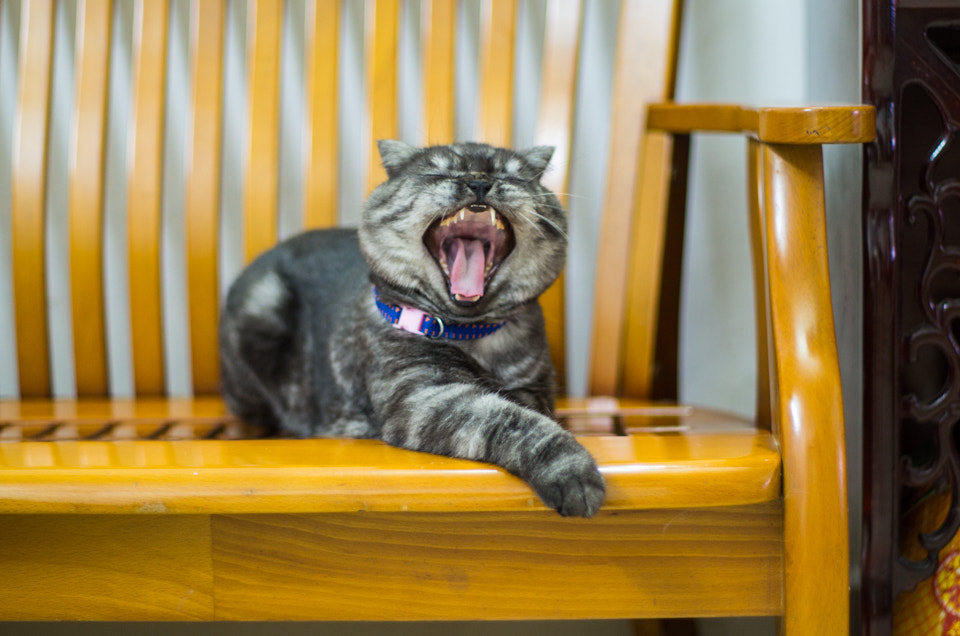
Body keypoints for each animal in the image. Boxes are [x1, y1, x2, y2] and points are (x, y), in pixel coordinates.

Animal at [221, 140, 604, 516]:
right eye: (439, 172)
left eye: (512, 176)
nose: (479, 181)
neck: (470, 335)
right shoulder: (424, 397)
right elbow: (510, 421)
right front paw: (573, 473)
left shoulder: (534, 387)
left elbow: (524, 407)